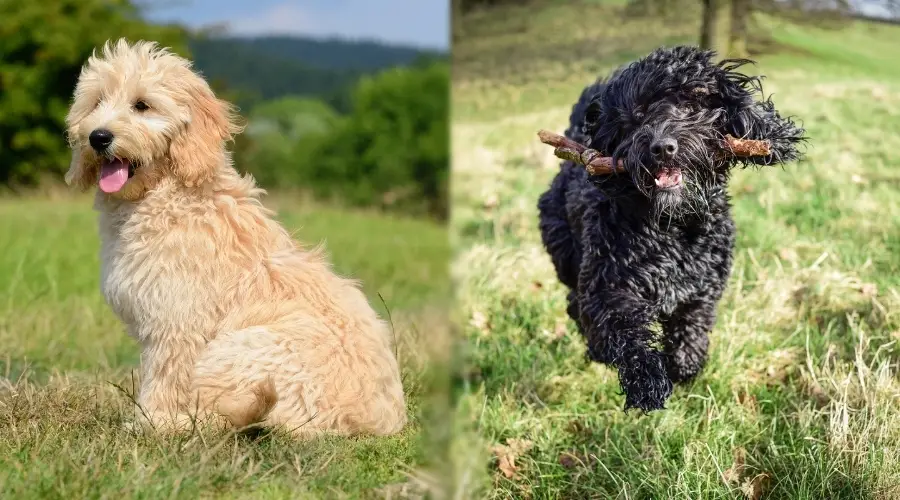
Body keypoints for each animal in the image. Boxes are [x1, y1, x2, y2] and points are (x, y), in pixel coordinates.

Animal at [66, 39, 408, 438]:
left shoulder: (177, 326)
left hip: (239, 351)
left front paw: (153, 421)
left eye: (142, 104)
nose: (98, 137)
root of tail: (362, 422)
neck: (169, 197)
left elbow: (166, 380)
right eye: (96, 102)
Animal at [536, 47, 804, 412]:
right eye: (637, 114)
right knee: (575, 303)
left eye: (690, 106)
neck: (672, 226)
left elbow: (692, 326)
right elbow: (623, 332)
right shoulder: (609, 287)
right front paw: (647, 378)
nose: (663, 147)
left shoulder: (701, 289)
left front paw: (684, 364)